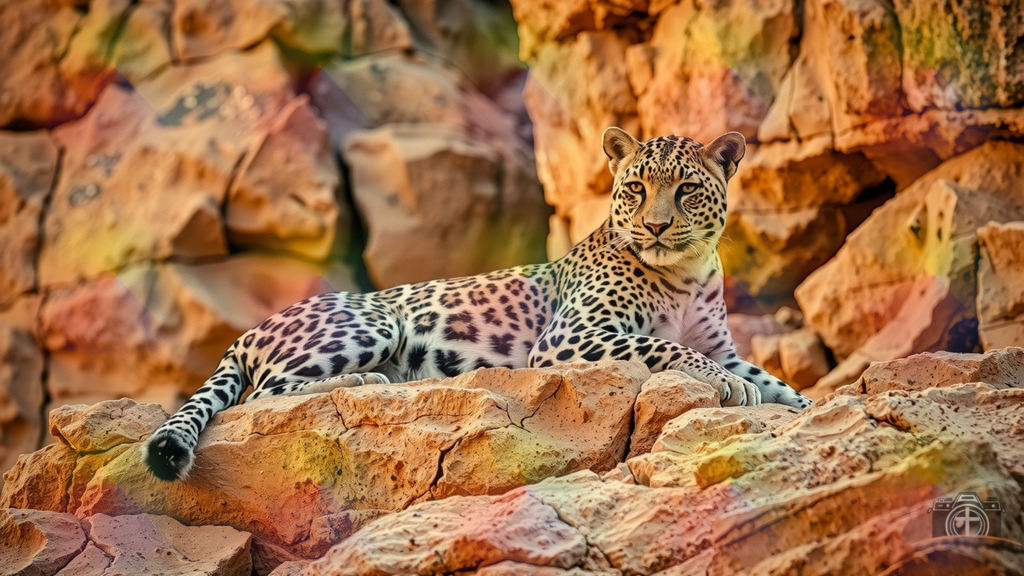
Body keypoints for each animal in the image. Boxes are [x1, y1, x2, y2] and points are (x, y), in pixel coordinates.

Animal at [143, 127, 812, 481]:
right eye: (637, 189)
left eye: (688, 189)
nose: (654, 227)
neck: (687, 272)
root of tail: (247, 332)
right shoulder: (570, 337)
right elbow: (664, 346)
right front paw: (725, 385)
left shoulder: (722, 341)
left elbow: (770, 378)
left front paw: (799, 405)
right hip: (373, 321)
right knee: (262, 398)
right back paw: (366, 383)